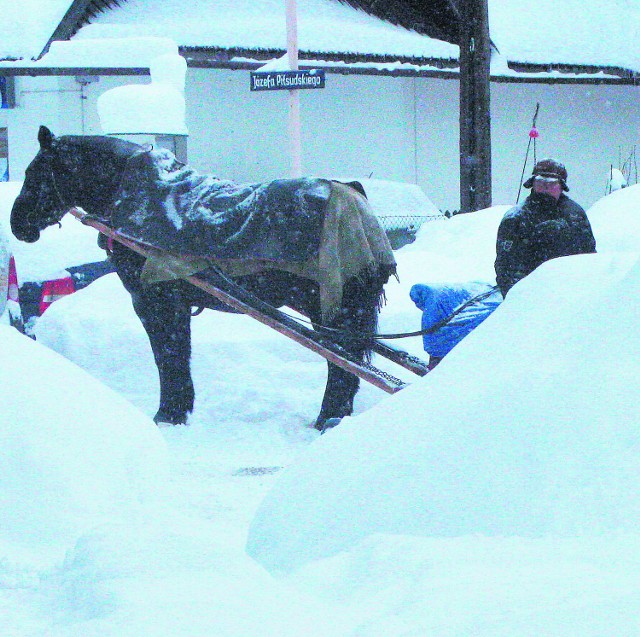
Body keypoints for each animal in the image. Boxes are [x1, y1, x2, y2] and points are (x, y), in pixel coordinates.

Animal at [12, 126, 396, 430]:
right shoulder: (176, 305)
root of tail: (353, 195)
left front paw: (167, 415)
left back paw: (328, 419)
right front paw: (179, 411)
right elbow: (178, 355)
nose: (17, 224)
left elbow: (168, 357)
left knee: (342, 365)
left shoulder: (154, 301)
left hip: (332, 312)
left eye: (34, 173)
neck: (133, 194)